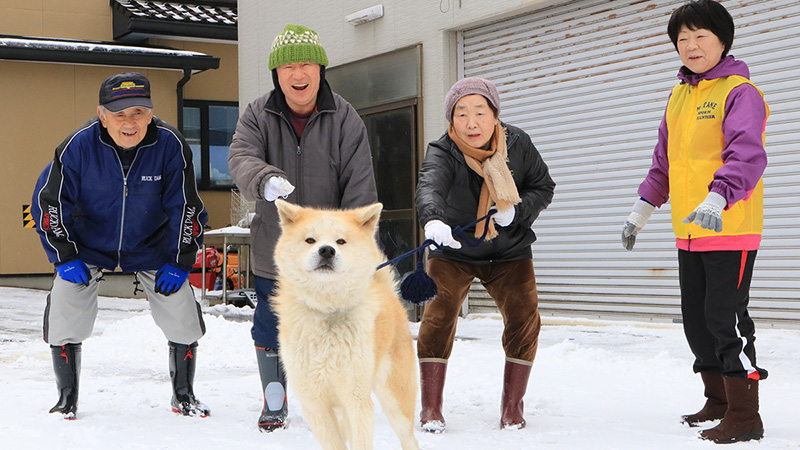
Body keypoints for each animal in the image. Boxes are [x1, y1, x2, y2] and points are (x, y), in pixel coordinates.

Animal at [274, 200, 422, 450]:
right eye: (310, 240)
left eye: (340, 241)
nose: (327, 250)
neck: (327, 312)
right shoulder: (315, 405)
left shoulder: (357, 401)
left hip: (395, 400)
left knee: (409, 438)